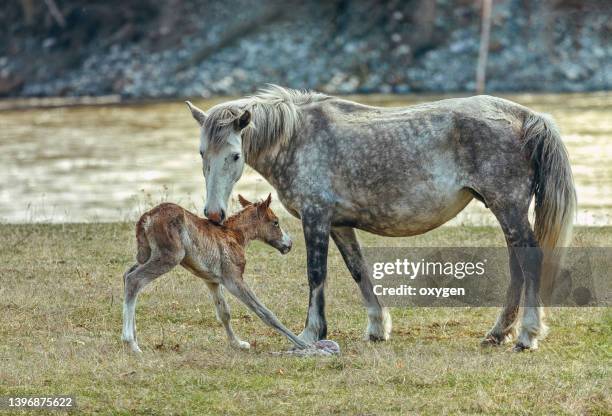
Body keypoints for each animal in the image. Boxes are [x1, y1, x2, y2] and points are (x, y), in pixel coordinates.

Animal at [121, 193, 308, 352]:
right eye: (275, 222)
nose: (289, 244)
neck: (236, 236)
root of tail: (146, 217)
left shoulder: (212, 280)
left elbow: (224, 312)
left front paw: (237, 344)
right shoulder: (234, 279)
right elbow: (264, 311)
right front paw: (302, 343)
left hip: (147, 255)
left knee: (127, 275)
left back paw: (135, 337)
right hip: (170, 257)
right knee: (134, 280)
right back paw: (131, 343)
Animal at [185, 86, 572, 352]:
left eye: (235, 155)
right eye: (202, 153)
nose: (214, 213)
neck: (298, 138)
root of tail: (526, 117)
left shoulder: (315, 218)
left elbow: (316, 275)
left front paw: (310, 335)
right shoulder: (339, 225)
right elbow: (359, 270)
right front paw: (377, 328)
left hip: (508, 207)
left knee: (529, 262)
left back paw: (527, 335)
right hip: (504, 210)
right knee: (517, 267)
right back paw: (498, 333)